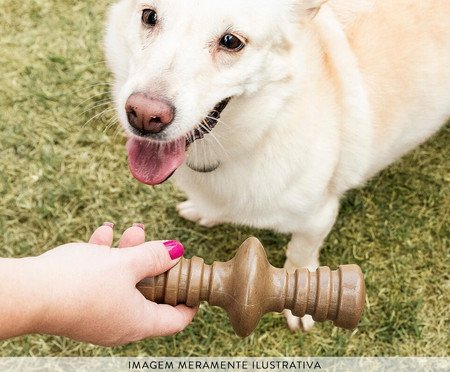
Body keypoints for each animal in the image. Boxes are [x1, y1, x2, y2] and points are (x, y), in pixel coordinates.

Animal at [105, 0, 450, 332]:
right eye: (149, 16)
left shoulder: (318, 218)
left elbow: (299, 254)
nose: (144, 115)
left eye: (231, 41)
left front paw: (305, 297)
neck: (258, 133)